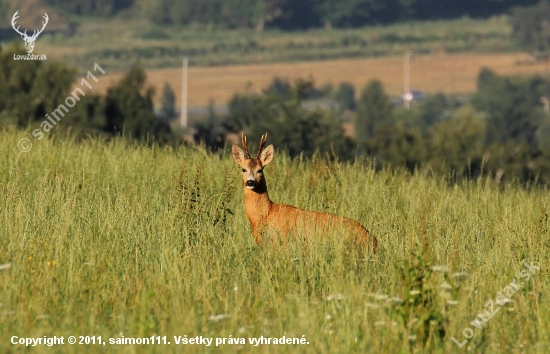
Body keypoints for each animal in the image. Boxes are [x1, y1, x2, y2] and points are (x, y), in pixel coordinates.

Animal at [233, 132, 380, 252]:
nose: (250, 182)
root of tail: (372, 239)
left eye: (260, 170)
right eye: (243, 169)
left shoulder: (283, 241)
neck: (265, 214)